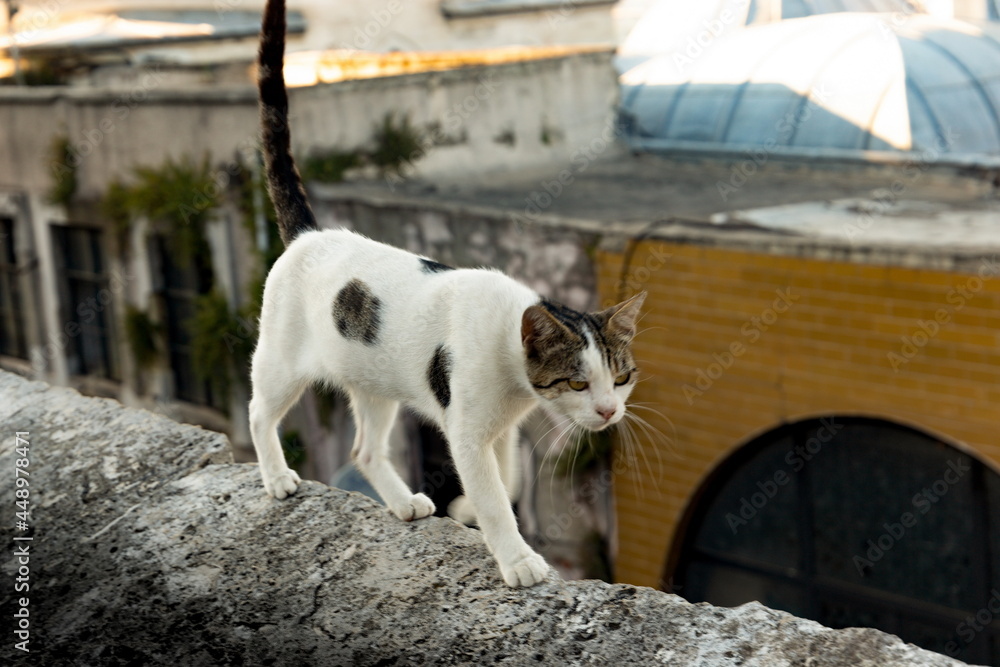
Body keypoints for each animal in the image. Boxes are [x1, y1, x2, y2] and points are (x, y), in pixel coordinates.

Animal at [254, 0, 644, 588]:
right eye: (578, 382)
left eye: (620, 379)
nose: (607, 413)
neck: (510, 364)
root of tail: (310, 235)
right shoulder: (465, 432)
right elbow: (494, 494)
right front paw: (517, 559)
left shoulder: (504, 433)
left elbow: (508, 480)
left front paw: (468, 514)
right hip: (281, 362)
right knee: (259, 411)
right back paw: (277, 477)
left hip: (374, 383)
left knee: (364, 450)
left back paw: (403, 504)